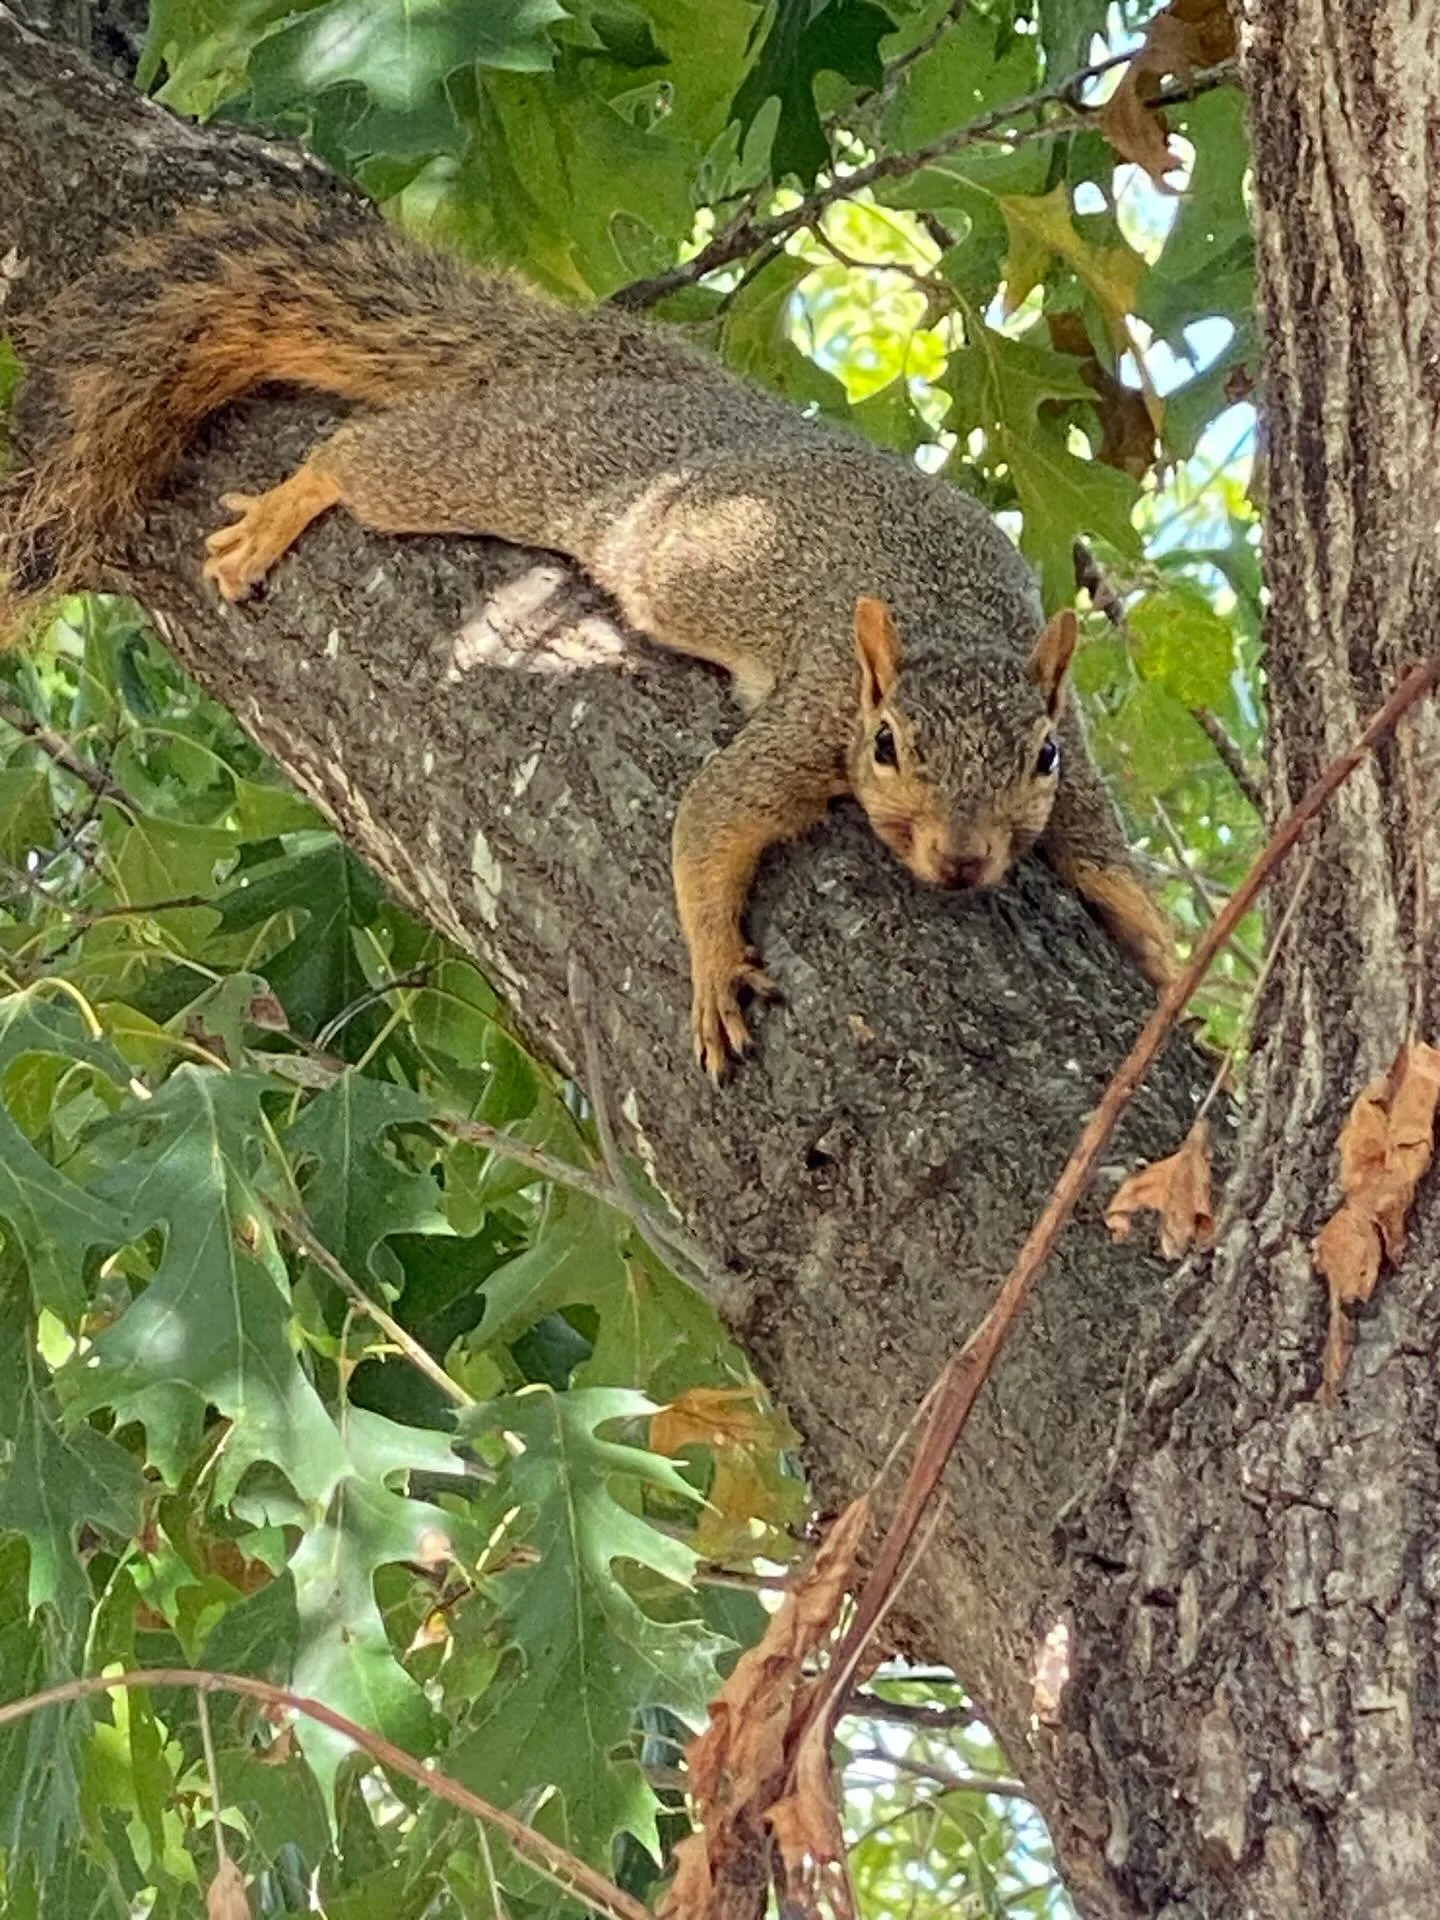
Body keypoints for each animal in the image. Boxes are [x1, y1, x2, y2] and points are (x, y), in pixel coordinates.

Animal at [0, 200, 1176, 1079]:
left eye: (1038, 757)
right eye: (887, 747)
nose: (965, 861)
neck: (948, 627)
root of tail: (649, 380)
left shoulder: (1070, 758)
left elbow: (1099, 856)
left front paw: (1169, 962)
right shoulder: (814, 710)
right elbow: (709, 821)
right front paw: (713, 971)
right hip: (544, 460)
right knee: (375, 455)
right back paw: (297, 500)